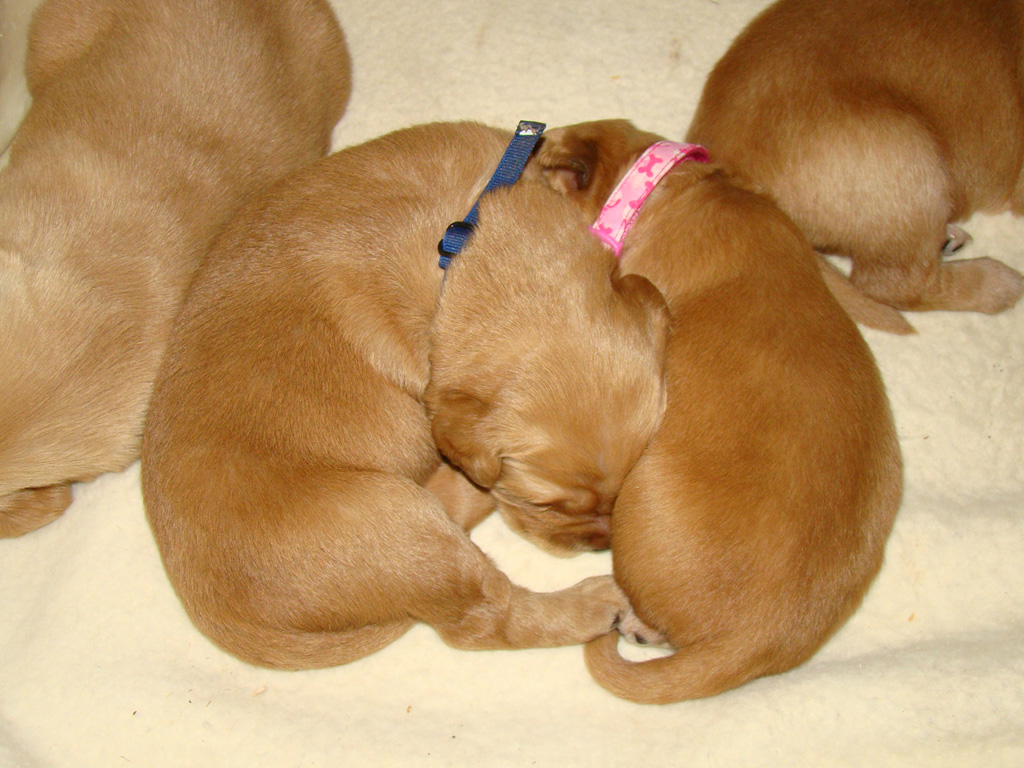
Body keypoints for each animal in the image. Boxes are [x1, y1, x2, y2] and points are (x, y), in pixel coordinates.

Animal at [142, 121, 671, 671]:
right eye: (542, 504)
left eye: (623, 488)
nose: (600, 543)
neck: (458, 244)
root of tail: (222, 616)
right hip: (398, 525)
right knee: (487, 620)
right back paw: (596, 600)